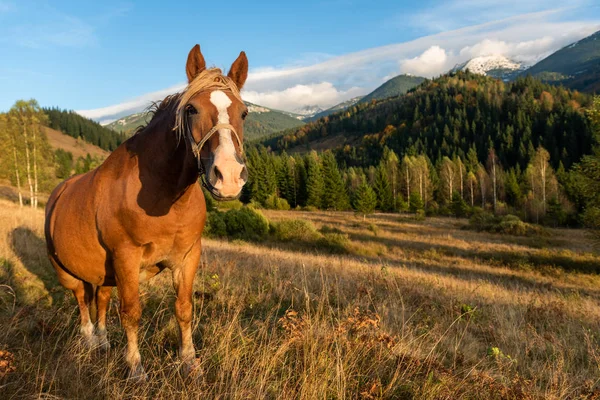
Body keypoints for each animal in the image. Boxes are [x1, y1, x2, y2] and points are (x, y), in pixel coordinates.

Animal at [43, 45, 247, 380]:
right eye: (192, 109)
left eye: (243, 112)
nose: (228, 176)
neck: (164, 196)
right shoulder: (126, 257)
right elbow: (132, 313)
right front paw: (136, 368)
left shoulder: (188, 256)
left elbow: (183, 309)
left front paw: (189, 362)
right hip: (67, 272)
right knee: (81, 299)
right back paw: (89, 339)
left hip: (104, 272)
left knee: (100, 298)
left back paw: (102, 341)